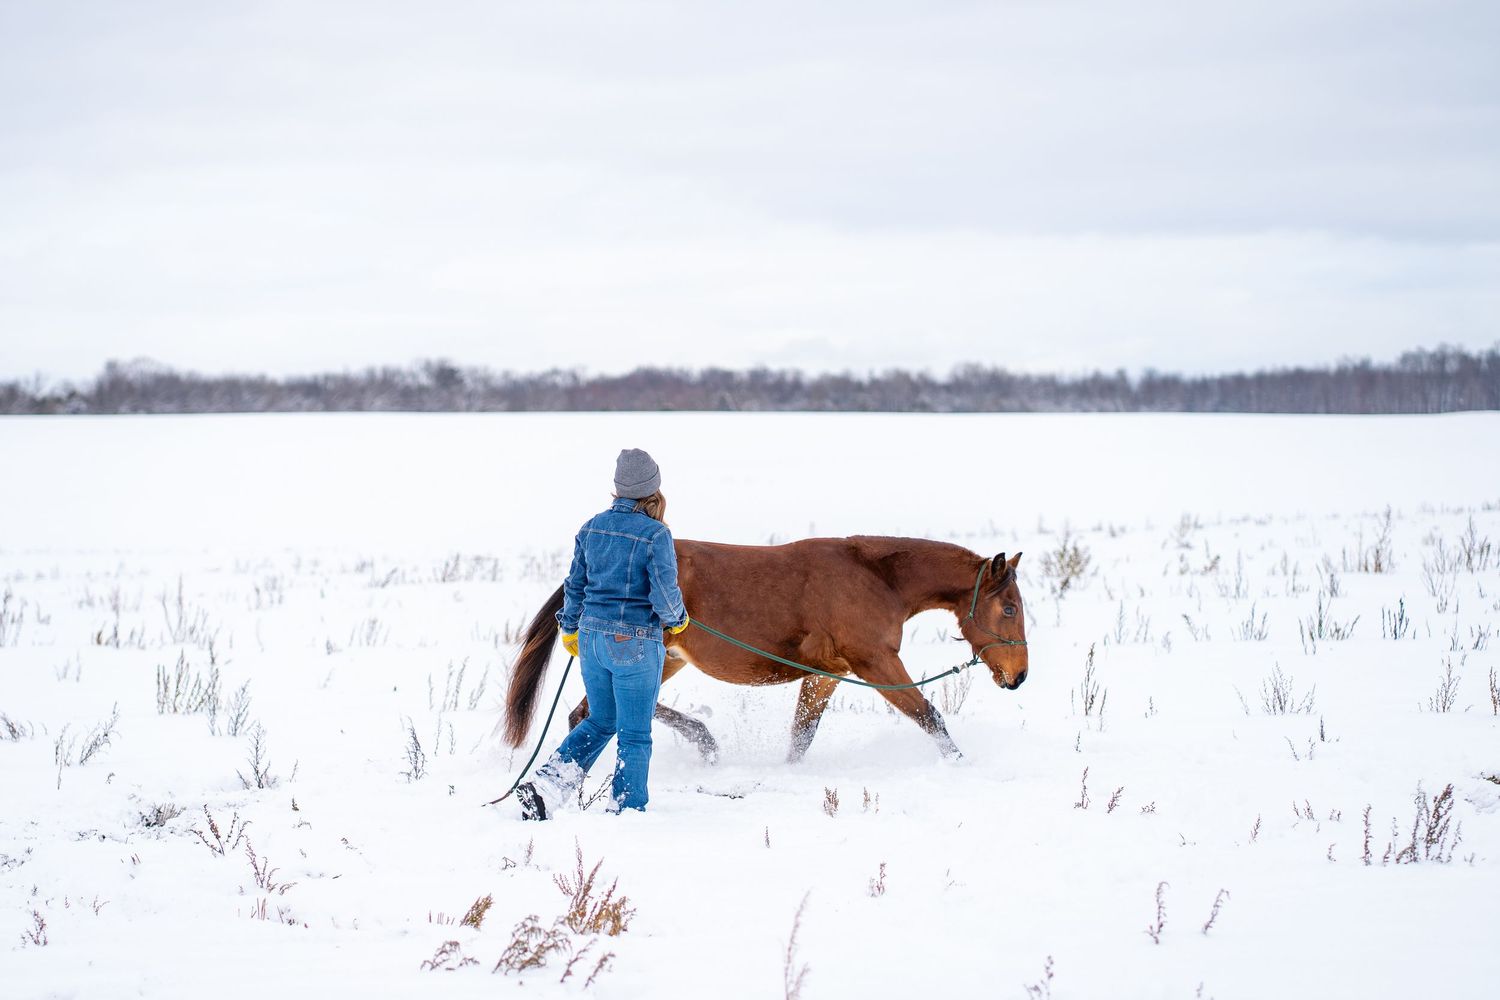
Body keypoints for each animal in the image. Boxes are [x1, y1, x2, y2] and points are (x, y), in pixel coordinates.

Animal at [503, 536, 1027, 762]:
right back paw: (704, 744)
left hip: (667, 659)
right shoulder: (876, 663)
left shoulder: (828, 673)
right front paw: (959, 765)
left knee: (592, 713)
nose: (1019, 675)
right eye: (1009, 609)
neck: (876, 578)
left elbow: (802, 735)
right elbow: (928, 716)